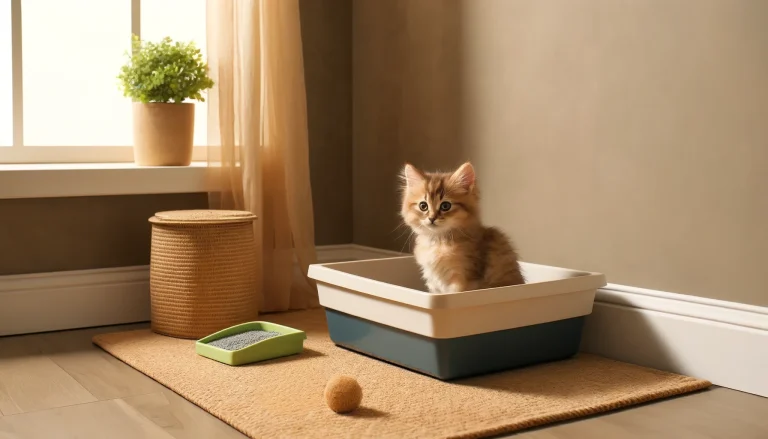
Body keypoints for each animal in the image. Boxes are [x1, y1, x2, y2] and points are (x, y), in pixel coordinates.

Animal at [400, 163, 524, 294]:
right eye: (423, 206)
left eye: (445, 206)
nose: (432, 218)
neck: (439, 241)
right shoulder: (434, 283)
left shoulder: (462, 279)